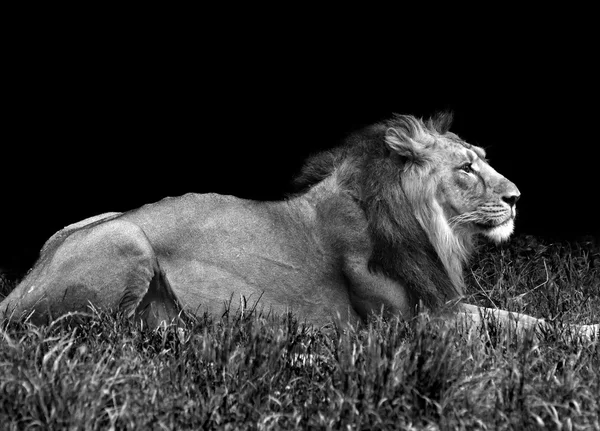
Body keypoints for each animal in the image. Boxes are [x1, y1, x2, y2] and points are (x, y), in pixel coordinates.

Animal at [0, 115, 596, 340]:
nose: (517, 199)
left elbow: (518, 315)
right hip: (126, 239)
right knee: (103, 334)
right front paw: (585, 334)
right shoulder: (416, 324)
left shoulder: (439, 304)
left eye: (483, 159)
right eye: (466, 168)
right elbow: (517, 323)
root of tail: (19, 287)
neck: (429, 232)